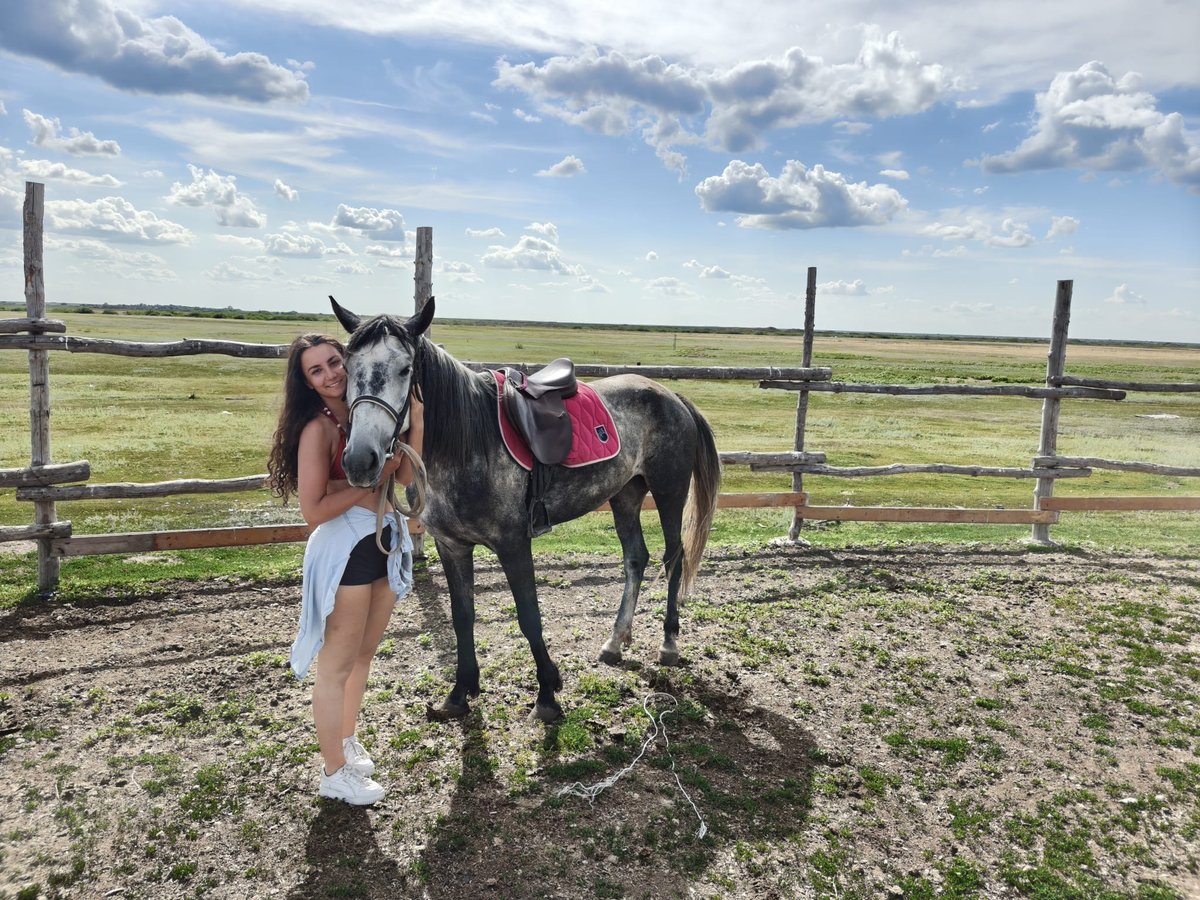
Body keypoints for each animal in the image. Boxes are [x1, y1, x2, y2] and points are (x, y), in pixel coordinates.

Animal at [331, 296, 721, 722]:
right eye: (348, 367)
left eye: (405, 369)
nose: (359, 460)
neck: (467, 445)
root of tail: (671, 396)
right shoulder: (452, 546)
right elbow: (462, 617)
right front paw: (459, 693)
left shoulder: (513, 543)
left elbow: (529, 616)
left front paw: (547, 694)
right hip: (625, 495)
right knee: (636, 559)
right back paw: (615, 642)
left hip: (669, 491)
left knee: (673, 558)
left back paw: (668, 644)